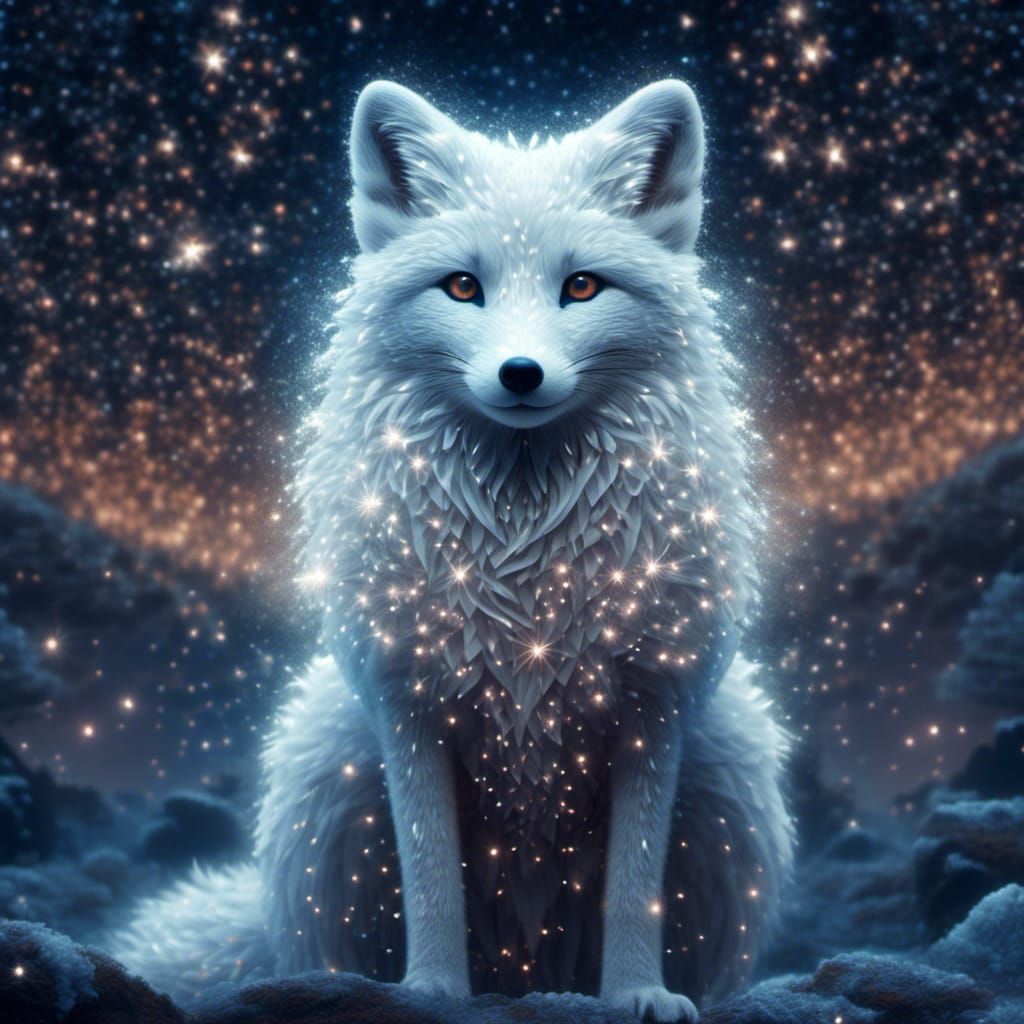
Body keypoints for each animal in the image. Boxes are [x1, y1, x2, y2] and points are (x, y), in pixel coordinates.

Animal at [114, 80, 793, 1022]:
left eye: (582, 286)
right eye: (463, 286)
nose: (520, 374)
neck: (524, 547)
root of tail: (527, 976)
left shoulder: (655, 703)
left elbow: (636, 885)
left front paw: (637, 995)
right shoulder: (405, 700)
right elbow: (431, 874)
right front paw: (431, 992)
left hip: (732, 764)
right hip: (328, 763)